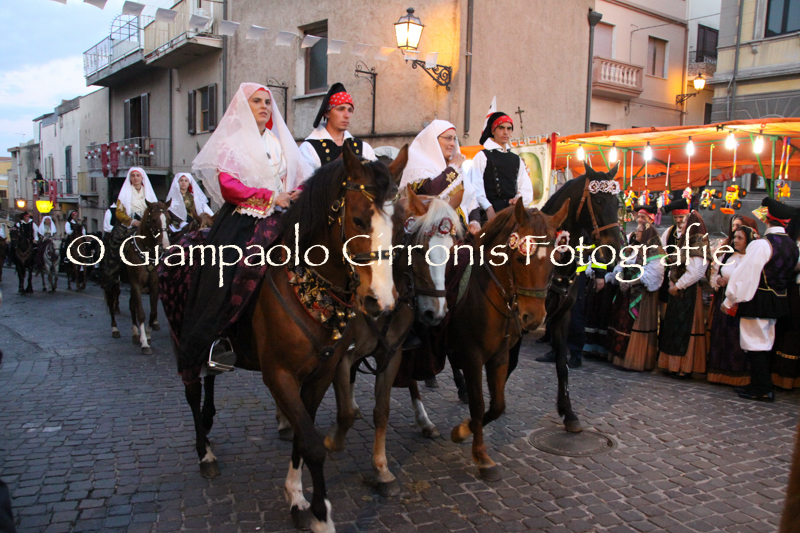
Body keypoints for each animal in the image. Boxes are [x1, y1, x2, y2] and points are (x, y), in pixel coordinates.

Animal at [175, 144, 407, 533]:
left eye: (401, 225)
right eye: (360, 220)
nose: (382, 301)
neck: (307, 288)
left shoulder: (320, 375)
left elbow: (303, 434)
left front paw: (297, 497)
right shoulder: (279, 375)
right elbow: (312, 443)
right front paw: (320, 513)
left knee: (208, 380)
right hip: (183, 337)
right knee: (192, 390)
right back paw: (204, 453)